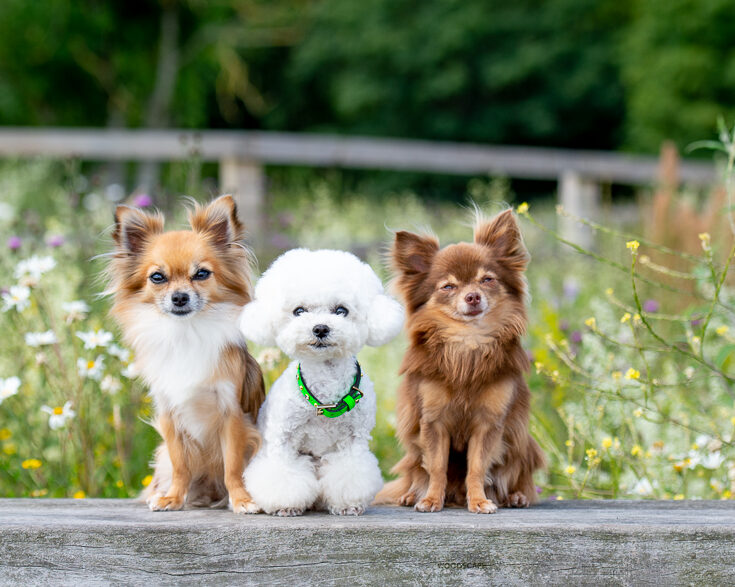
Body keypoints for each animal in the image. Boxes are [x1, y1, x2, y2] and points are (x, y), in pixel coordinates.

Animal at [108, 195, 265, 512]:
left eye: (201, 274)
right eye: (157, 277)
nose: (179, 297)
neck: (186, 333)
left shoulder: (232, 414)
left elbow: (232, 467)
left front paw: (241, 499)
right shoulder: (170, 416)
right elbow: (180, 464)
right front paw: (173, 498)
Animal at [239, 249, 404, 516]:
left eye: (341, 310)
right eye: (299, 311)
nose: (320, 328)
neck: (325, 390)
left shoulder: (353, 441)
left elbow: (349, 474)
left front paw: (348, 505)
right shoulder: (283, 437)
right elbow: (282, 474)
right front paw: (286, 504)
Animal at [374, 209, 545, 513]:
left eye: (487, 280)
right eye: (448, 286)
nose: (472, 296)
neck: (468, 343)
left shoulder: (489, 423)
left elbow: (476, 467)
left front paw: (479, 501)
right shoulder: (433, 422)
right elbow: (436, 467)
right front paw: (431, 499)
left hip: (521, 444)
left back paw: (515, 496)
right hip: (413, 449)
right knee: (416, 472)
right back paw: (411, 495)